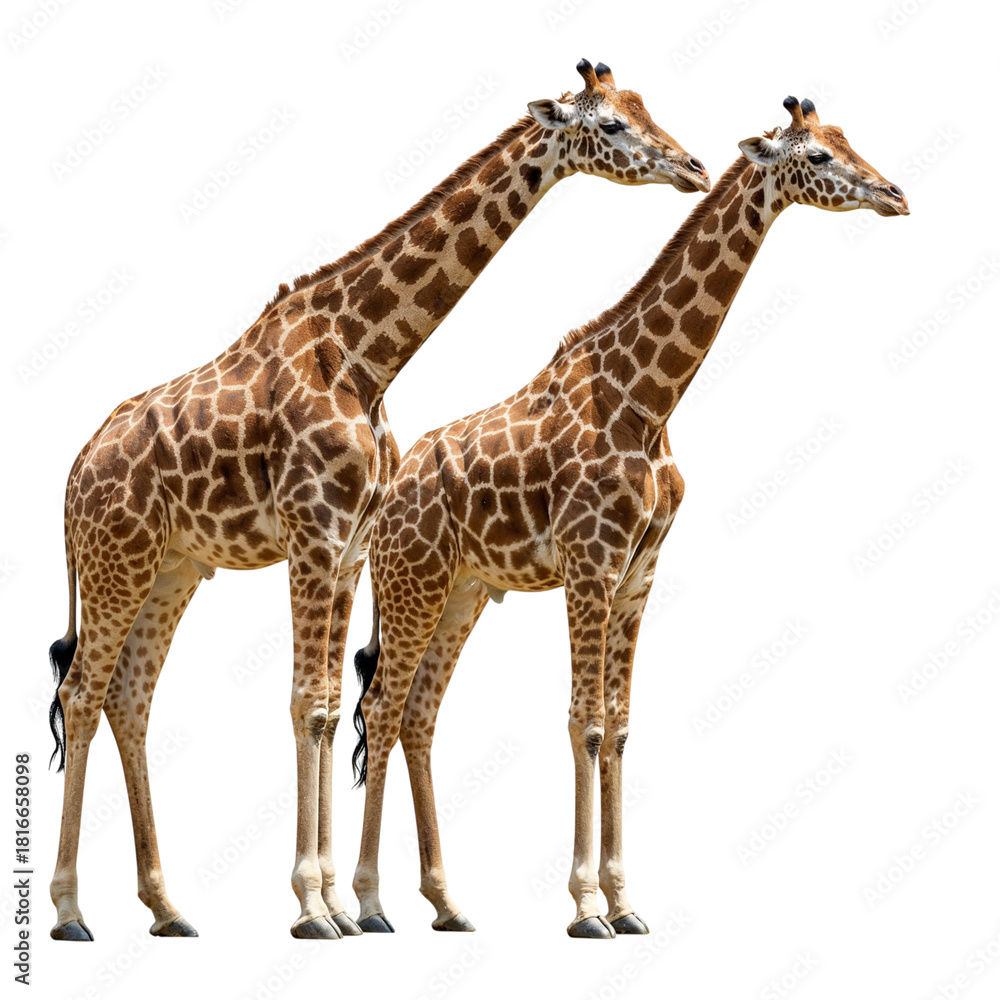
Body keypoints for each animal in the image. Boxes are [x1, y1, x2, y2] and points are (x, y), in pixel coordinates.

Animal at [45, 58, 710, 943]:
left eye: (644, 108)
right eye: (610, 125)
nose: (693, 168)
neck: (366, 353)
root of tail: (74, 471)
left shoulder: (350, 545)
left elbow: (331, 708)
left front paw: (336, 904)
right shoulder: (314, 534)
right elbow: (308, 705)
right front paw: (314, 907)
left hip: (174, 566)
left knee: (128, 697)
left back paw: (167, 908)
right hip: (115, 558)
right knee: (82, 692)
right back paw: (70, 911)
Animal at [351, 96, 909, 937]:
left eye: (846, 140)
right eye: (816, 155)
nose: (896, 195)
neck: (650, 399)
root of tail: (391, 492)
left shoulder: (640, 573)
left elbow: (617, 726)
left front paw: (626, 902)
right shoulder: (591, 562)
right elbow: (582, 720)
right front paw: (586, 906)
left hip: (463, 590)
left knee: (418, 713)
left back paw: (446, 903)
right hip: (410, 581)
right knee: (384, 709)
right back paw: (369, 903)